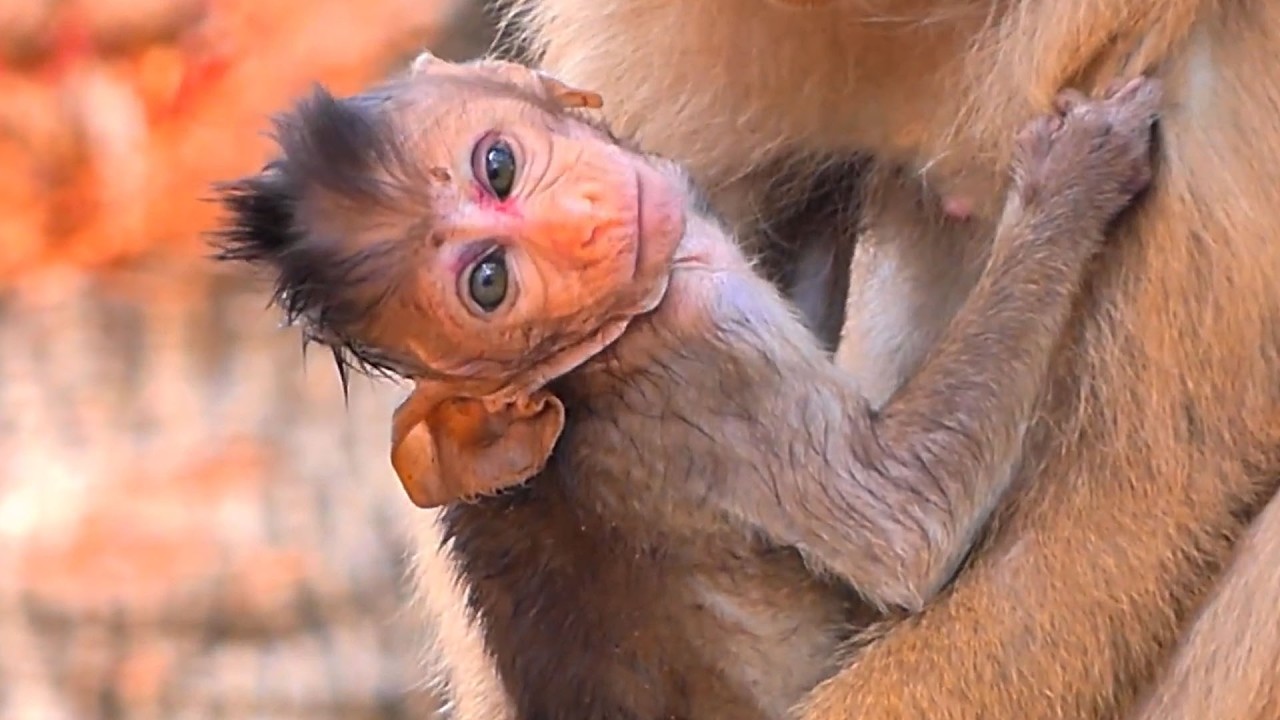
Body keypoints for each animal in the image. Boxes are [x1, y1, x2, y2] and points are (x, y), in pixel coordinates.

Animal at [212, 57, 1161, 719]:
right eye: (489, 282)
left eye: (498, 165)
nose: (580, 224)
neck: (593, 351)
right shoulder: (708, 358)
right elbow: (904, 521)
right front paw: (1068, 183)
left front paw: (844, 170)